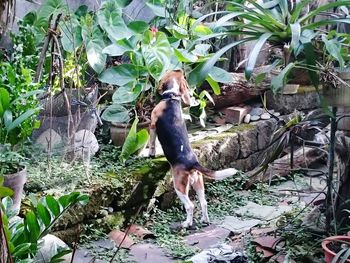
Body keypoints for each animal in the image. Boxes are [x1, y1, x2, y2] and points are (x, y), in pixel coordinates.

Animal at [148, 70, 238, 229]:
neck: (172, 98)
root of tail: (192, 163)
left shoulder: (152, 125)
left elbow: (152, 143)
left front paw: (150, 154)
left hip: (179, 186)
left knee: (190, 206)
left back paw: (187, 223)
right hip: (198, 183)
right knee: (204, 202)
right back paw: (204, 220)